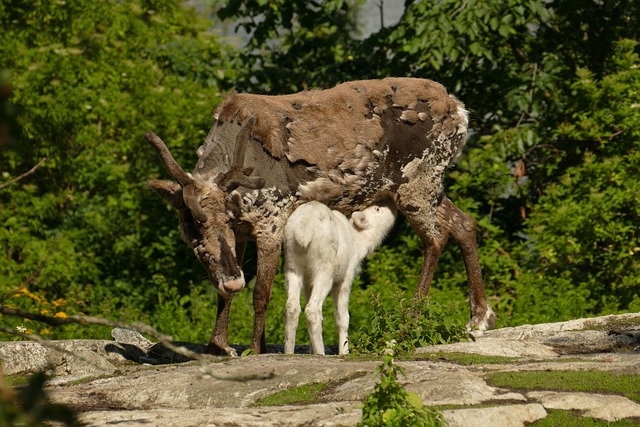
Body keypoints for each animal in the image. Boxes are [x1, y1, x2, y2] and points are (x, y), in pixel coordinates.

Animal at [284, 202, 396, 356]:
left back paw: (289, 351)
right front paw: (344, 351)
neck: (360, 242)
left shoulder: (307, 280)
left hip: (292, 258)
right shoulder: (347, 274)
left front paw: (311, 350)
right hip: (324, 262)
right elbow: (342, 318)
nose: (393, 205)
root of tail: (304, 227)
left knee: (293, 305)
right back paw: (321, 352)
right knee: (313, 308)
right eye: (377, 208)